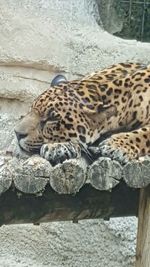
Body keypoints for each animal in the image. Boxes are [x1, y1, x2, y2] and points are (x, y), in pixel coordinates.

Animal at [14, 63, 150, 166]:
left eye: (52, 118)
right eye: (31, 109)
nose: (17, 133)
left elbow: (143, 134)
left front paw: (115, 146)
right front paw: (57, 146)